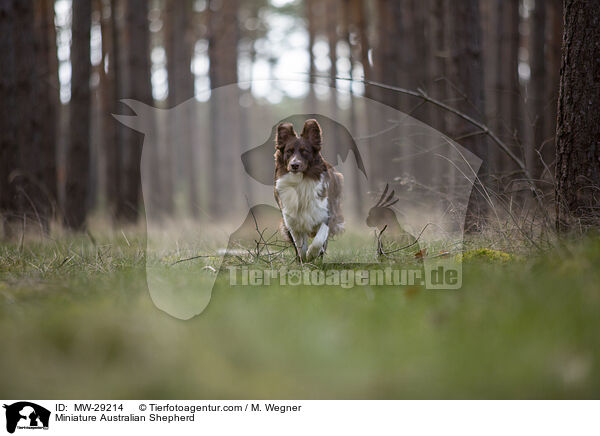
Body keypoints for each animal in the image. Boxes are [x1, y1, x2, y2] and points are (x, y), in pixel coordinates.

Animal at [274, 119, 342, 260]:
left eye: (305, 151)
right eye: (289, 151)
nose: (294, 165)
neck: (301, 181)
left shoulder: (326, 214)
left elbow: (319, 240)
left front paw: (312, 254)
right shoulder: (291, 221)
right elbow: (300, 246)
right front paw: (303, 259)